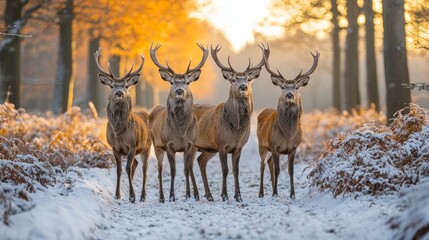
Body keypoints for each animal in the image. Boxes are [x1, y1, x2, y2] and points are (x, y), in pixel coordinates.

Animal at [94, 48, 151, 202]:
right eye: (112, 86)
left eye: (126, 86)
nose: (119, 93)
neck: (119, 132)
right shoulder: (114, 147)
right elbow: (119, 170)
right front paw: (117, 194)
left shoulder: (132, 144)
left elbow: (127, 168)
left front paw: (132, 196)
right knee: (135, 164)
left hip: (147, 146)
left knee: (144, 168)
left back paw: (142, 195)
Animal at [148, 42, 208, 202]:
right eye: (172, 82)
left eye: (187, 82)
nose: (179, 91)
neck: (180, 132)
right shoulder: (168, 145)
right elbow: (173, 170)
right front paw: (172, 196)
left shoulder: (190, 144)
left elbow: (186, 169)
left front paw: (187, 195)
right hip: (156, 145)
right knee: (160, 169)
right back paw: (161, 197)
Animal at [194, 43, 268, 202]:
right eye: (233, 80)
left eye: (248, 79)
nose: (243, 87)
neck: (236, 130)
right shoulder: (222, 144)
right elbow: (225, 170)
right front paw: (224, 195)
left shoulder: (238, 147)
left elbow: (236, 170)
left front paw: (238, 196)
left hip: (209, 149)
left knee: (200, 161)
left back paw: (208, 195)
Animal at [256, 44, 320, 199]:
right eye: (283, 87)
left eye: (296, 87)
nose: (290, 95)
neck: (288, 135)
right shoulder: (274, 146)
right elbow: (278, 169)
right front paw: (275, 193)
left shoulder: (294, 147)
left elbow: (290, 170)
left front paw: (292, 194)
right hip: (261, 144)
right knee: (262, 164)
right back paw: (261, 193)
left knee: (269, 162)